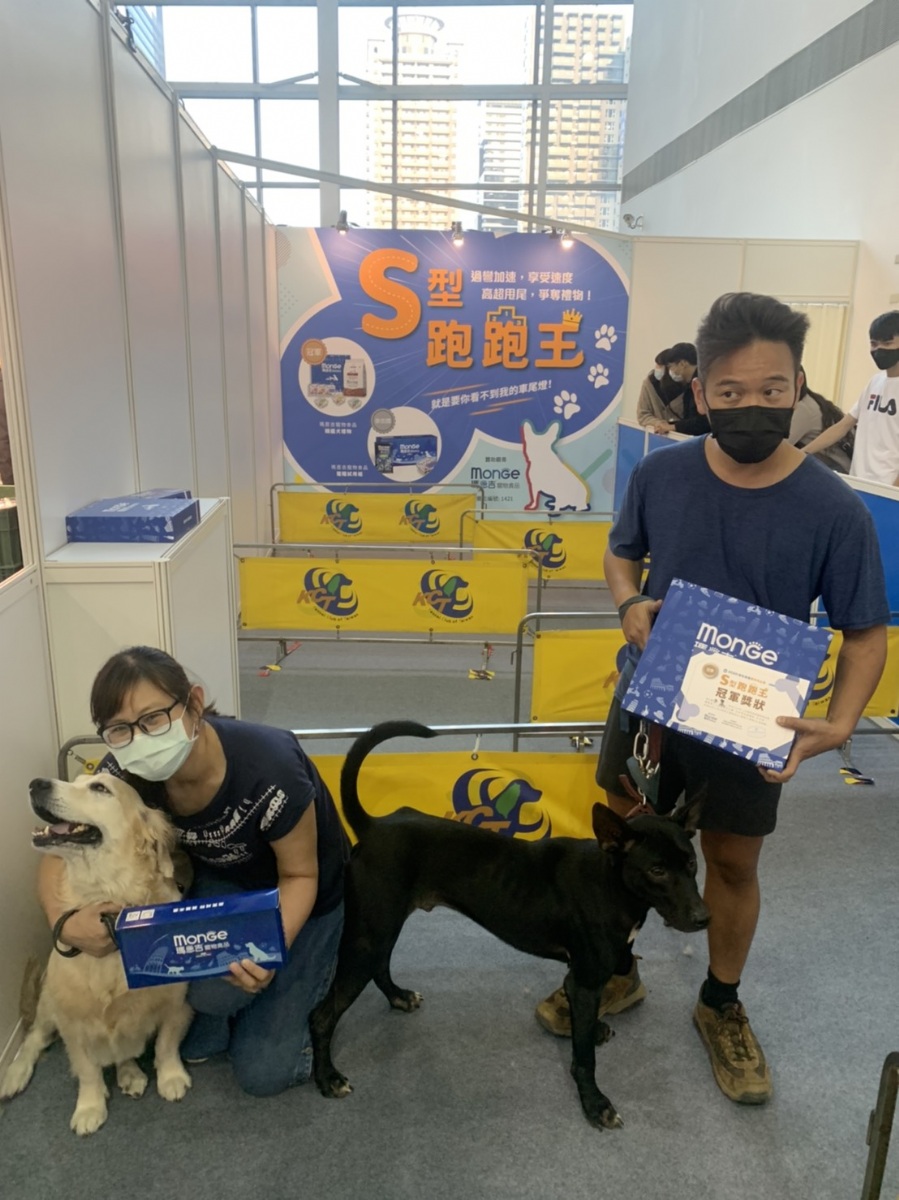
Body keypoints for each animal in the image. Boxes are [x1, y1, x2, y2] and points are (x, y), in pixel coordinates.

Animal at [0, 773, 193, 1135]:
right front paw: (89, 1107)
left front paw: (171, 1076)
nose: (36, 783)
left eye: (100, 788)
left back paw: (129, 1073)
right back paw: (14, 1074)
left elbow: (166, 1044)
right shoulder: (72, 1020)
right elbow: (87, 1069)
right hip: (49, 1001)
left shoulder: (177, 1000)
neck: (109, 901)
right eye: (75, 780)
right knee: (34, 1037)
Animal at [310, 721, 710, 1130]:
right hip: (369, 934)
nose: (703, 918)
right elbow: (585, 1058)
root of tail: (373, 828)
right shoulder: (584, 981)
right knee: (321, 1016)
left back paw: (398, 997)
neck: (611, 884)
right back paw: (328, 1078)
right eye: (657, 870)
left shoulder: (583, 975)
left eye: (691, 862)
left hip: (383, 925)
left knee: (380, 966)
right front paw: (595, 1102)